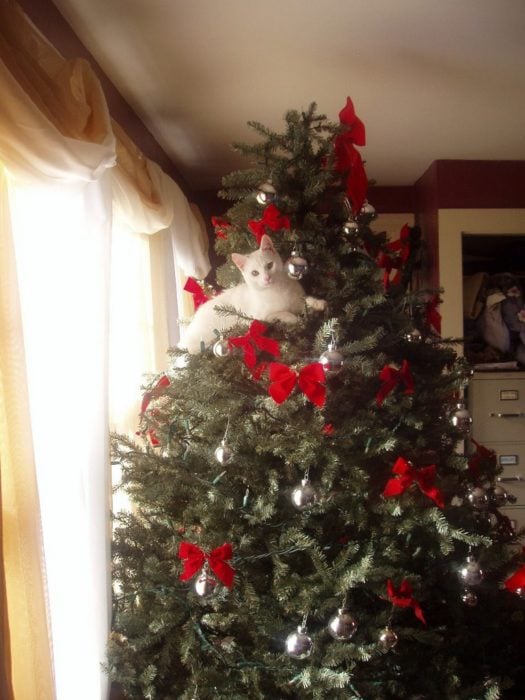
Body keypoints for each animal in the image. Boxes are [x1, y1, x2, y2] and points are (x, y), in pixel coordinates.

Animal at [182, 234, 326, 356]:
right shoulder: (259, 318)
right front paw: (296, 319)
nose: (267, 278)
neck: (278, 289)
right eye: (255, 273)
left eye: (270, 265)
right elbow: (282, 313)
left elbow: (305, 301)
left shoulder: (297, 299)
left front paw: (318, 303)